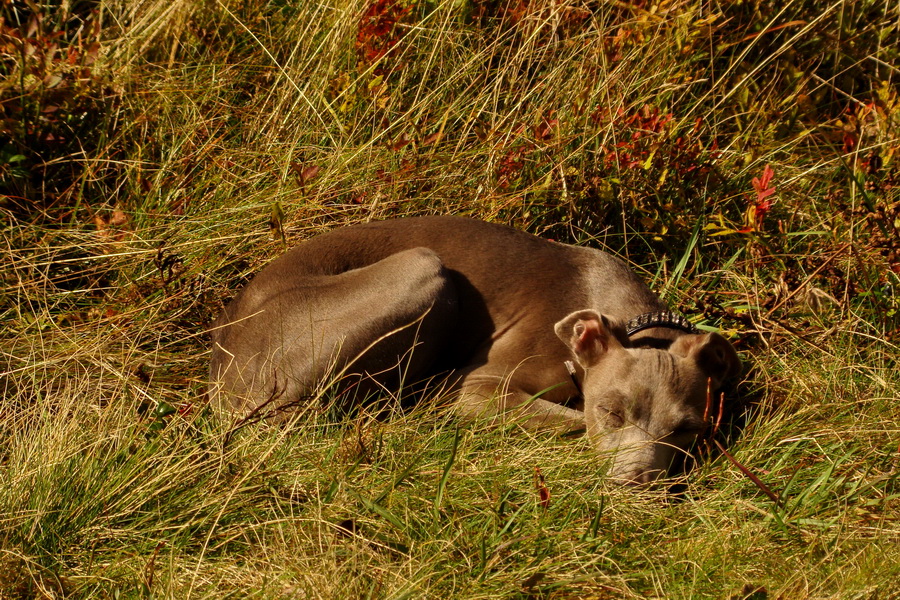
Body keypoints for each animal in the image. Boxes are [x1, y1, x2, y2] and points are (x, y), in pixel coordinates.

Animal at [209, 216, 740, 482]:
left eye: (689, 430)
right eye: (610, 412)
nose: (634, 484)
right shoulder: (477, 389)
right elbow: (569, 422)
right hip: (420, 267)